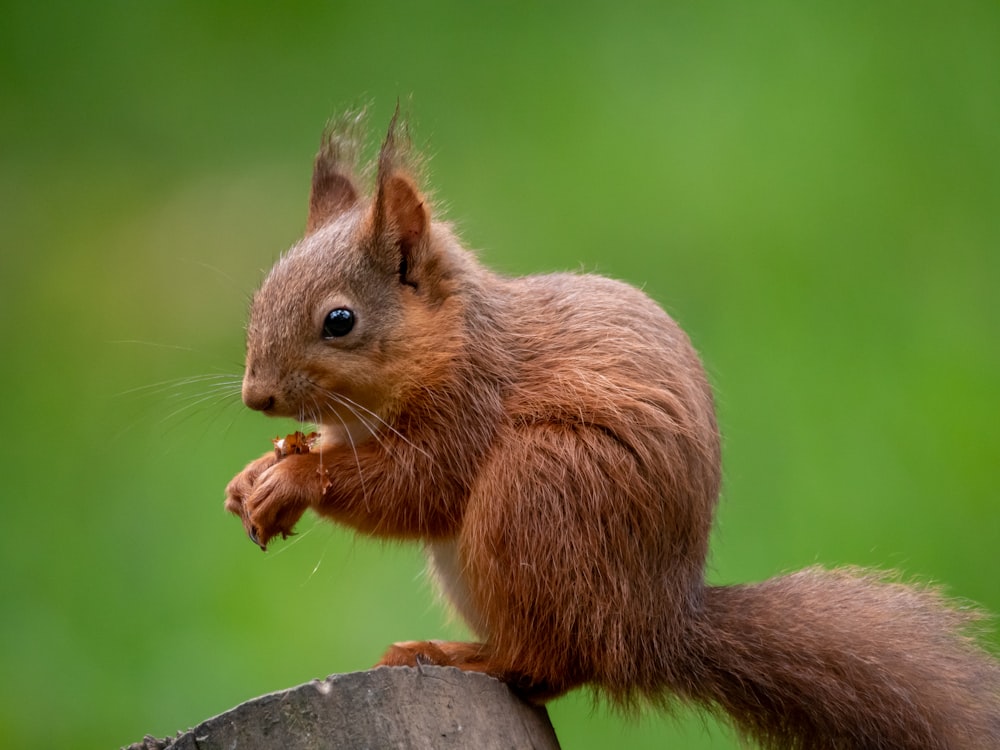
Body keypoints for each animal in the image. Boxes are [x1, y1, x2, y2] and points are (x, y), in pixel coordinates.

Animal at [225, 113, 1000, 750]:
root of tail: (653, 631)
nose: (256, 396)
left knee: (546, 663)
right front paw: (254, 477)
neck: (454, 342)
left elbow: (414, 488)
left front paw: (294, 479)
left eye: (340, 321)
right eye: (259, 296)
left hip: (540, 491)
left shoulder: (472, 408)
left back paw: (458, 655)